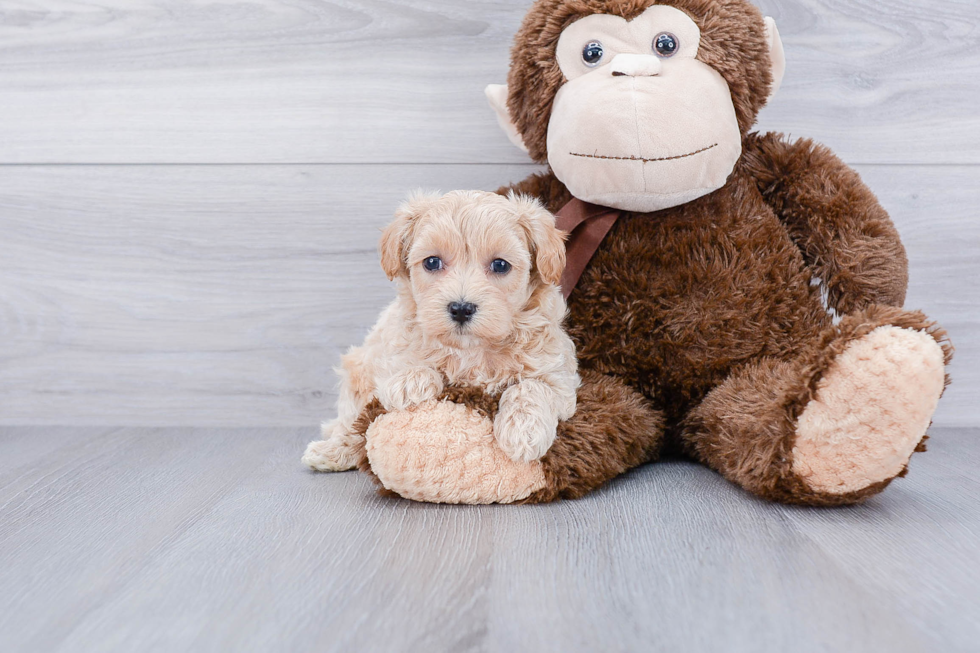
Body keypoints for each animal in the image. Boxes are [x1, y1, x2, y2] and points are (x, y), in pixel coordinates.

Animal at [304, 191, 580, 472]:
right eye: (432, 262)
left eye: (501, 265)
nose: (461, 308)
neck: (471, 350)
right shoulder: (387, 348)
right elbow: (403, 364)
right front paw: (410, 382)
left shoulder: (559, 376)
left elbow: (533, 387)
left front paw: (523, 431)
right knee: (351, 422)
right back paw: (332, 450)